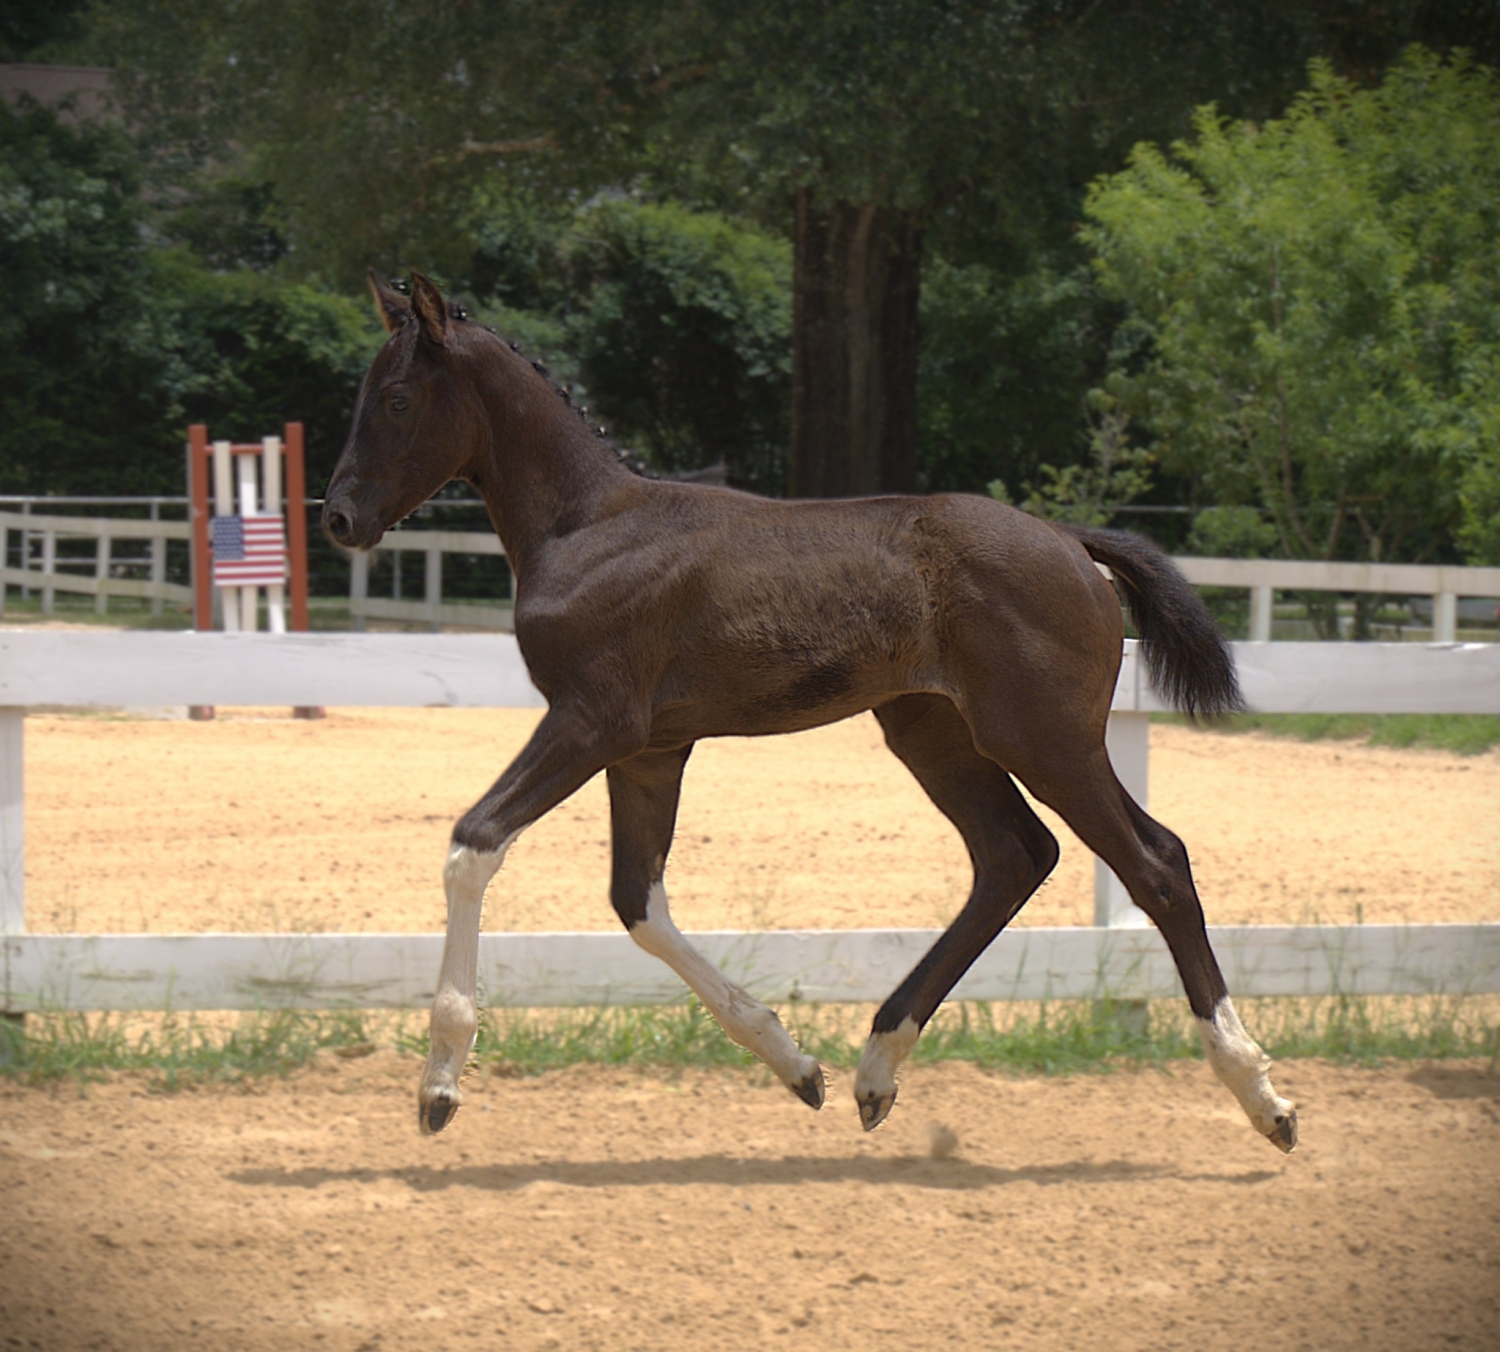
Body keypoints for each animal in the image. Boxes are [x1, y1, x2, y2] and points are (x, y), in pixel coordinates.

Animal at [323, 270, 1297, 1154]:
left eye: (398, 399)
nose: (338, 519)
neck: (589, 526)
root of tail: (1069, 540)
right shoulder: (650, 750)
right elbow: (637, 901)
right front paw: (795, 1065)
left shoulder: (591, 722)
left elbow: (475, 843)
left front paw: (440, 1084)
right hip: (935, 731)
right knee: (1015, 856)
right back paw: (875, 1070)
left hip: (1045, 737)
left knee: (1154, 863)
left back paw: (1263, 1097)